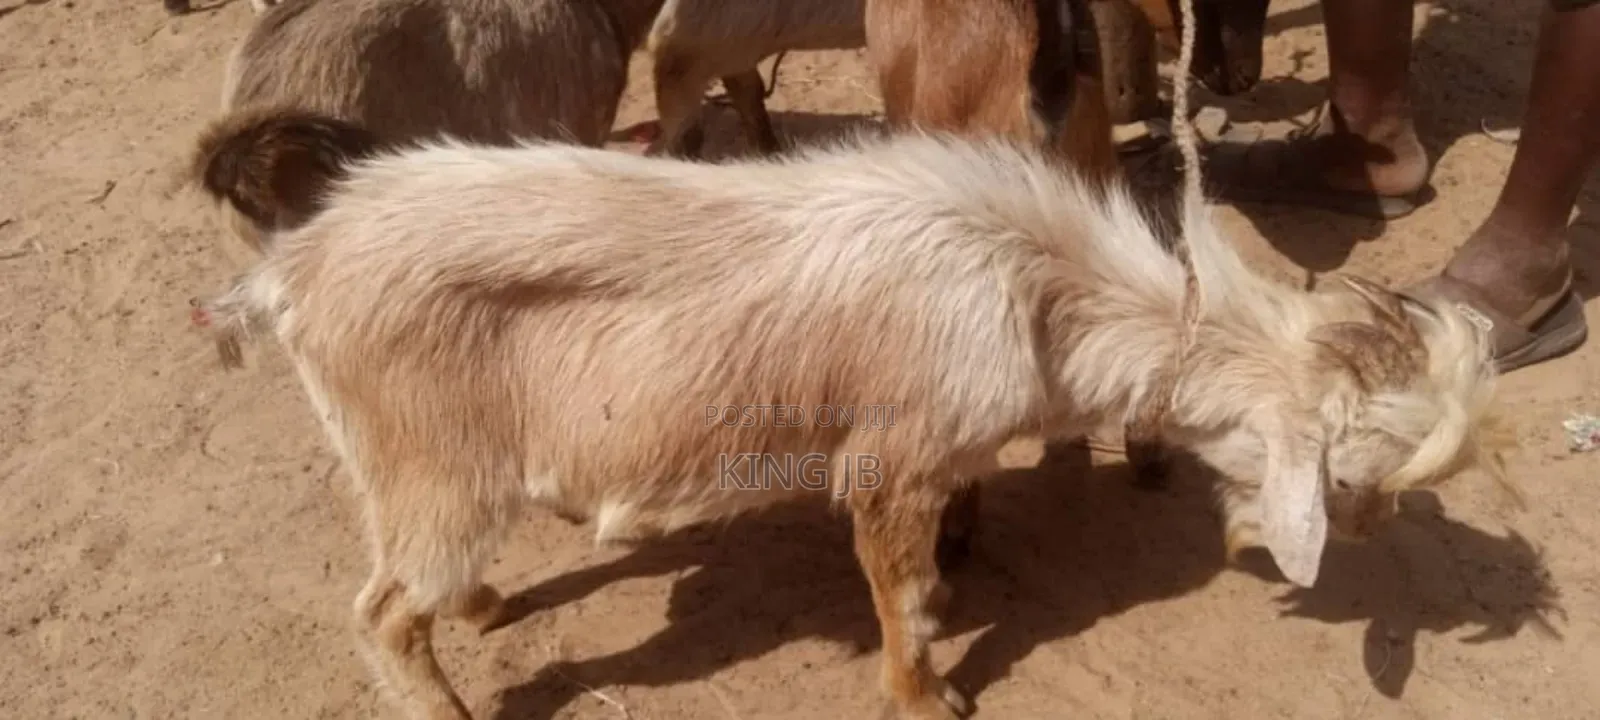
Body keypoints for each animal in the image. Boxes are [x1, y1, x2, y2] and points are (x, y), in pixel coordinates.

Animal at [190, 107, 1511, 720]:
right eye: (1358, 471)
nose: (1380, 540)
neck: (1041, 287)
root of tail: (291, 271)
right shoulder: (892, 460)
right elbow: (896, 589)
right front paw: (927, 690)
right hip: (430, 465)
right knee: (379, 612)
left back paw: (484, 600)